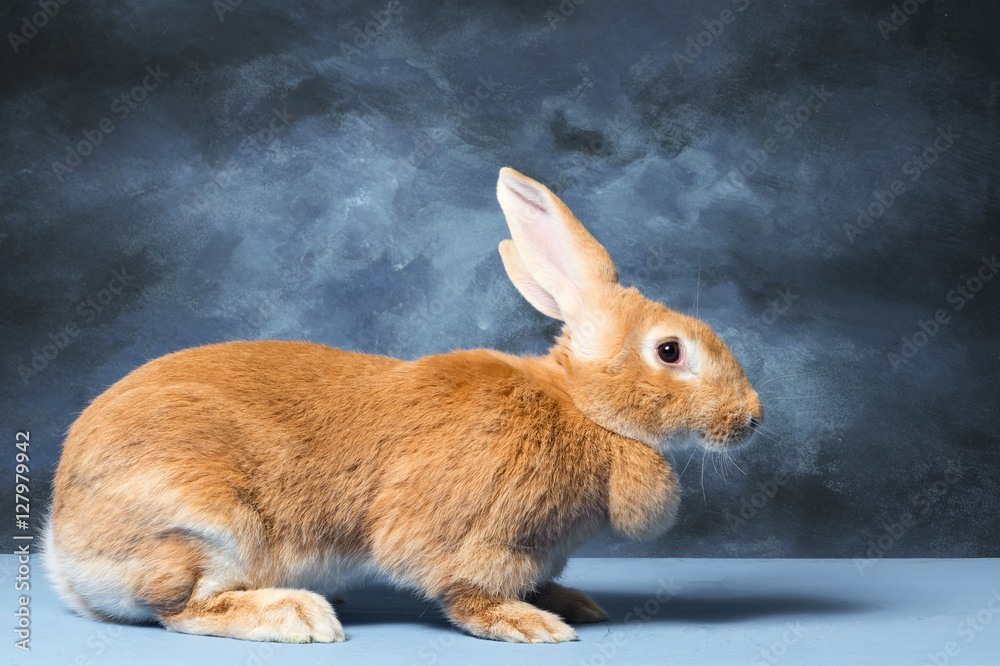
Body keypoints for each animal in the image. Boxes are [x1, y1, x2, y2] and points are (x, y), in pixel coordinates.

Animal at [44, 167, 762, 644]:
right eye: (669, 351)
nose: (753, 418)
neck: (581, 409)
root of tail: (64, 551)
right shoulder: (469, 535)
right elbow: (463, 589)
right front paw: (529, 624)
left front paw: (574, 603)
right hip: (200, 526)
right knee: (180, 610)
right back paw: (296, 615)